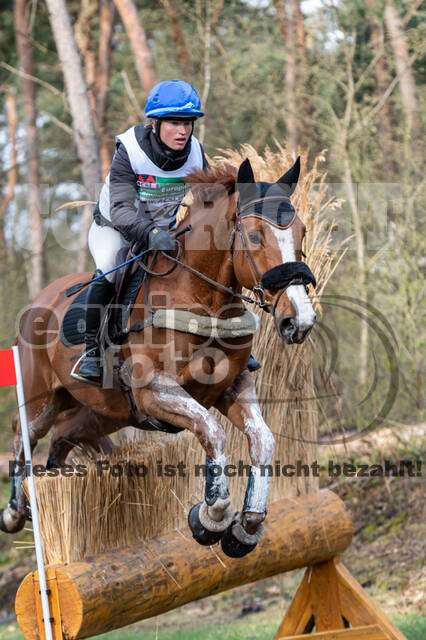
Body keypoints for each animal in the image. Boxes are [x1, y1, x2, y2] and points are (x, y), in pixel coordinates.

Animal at [0, 158, 316, 556]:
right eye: (256, 235)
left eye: (302, 233)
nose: (299, 320)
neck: (201, 300)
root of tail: (39, 301)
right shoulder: (154, 391)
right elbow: (212, 431)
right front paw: (211, 517)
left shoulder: (232, 387)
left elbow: (262, 438)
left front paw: (247, 526)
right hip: (41, 400)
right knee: (22, 435)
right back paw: (15, 511)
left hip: (102, 413)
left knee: (62, 437)